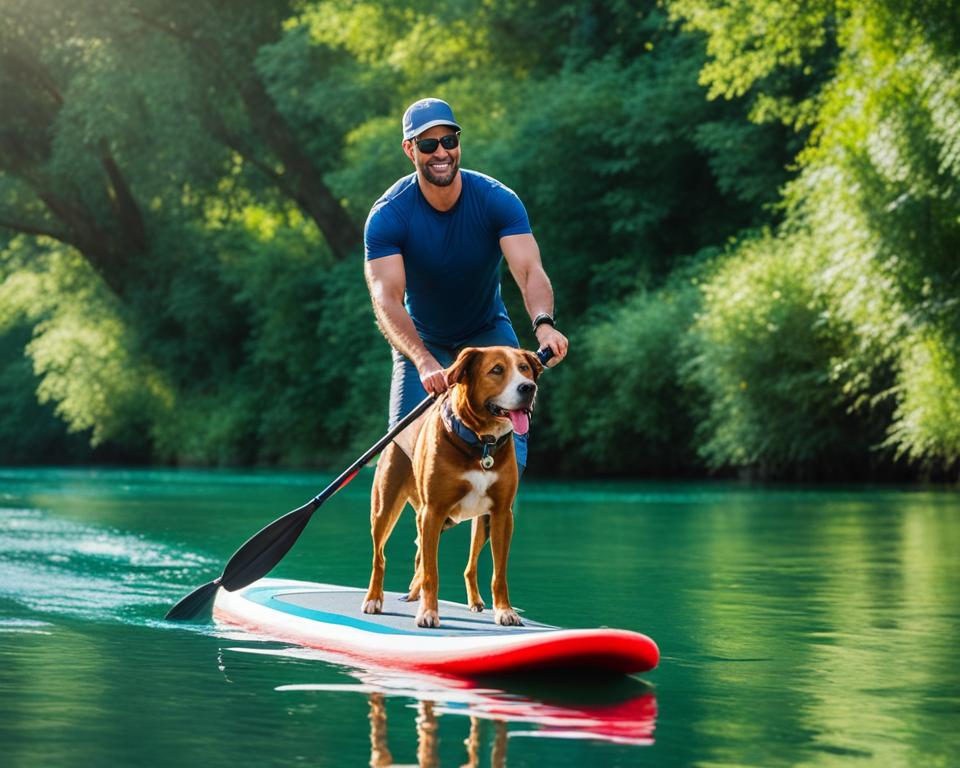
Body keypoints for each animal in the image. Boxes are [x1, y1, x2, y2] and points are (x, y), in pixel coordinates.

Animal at [362, 344, 544, 628]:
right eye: (497, 370)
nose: (528, 388)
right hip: (385, 509)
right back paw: (374, 599)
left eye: (524, 368)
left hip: (479, 521)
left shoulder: (502, 513)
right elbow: (431, 572)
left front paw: (505, 611)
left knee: (467, 566)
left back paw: (470, 601)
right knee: (380, 557)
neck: (481, 443)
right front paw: (428, 612)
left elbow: (499, 572)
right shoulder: (433, 510)